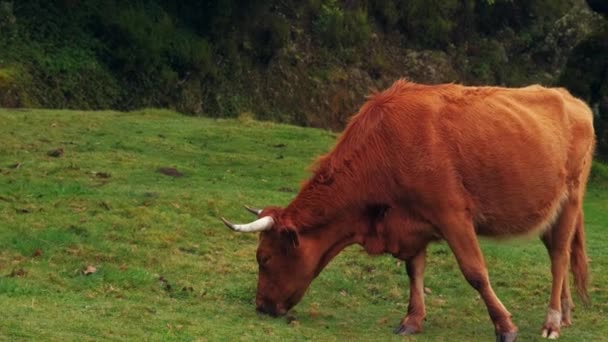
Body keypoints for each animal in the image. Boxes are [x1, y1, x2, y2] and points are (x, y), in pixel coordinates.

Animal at [220, 79, 592, 340]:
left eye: (264, 259)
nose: (261, 306)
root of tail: (571, 99)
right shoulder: (411, 222)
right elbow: (414, 270)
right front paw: (412, 320)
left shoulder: (452, 215)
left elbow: (474, 272)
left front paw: (504, 326)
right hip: (549, 212)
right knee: (558, 256)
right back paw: (566, 312)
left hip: (570, 200)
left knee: (559, 257)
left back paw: (552, 320)